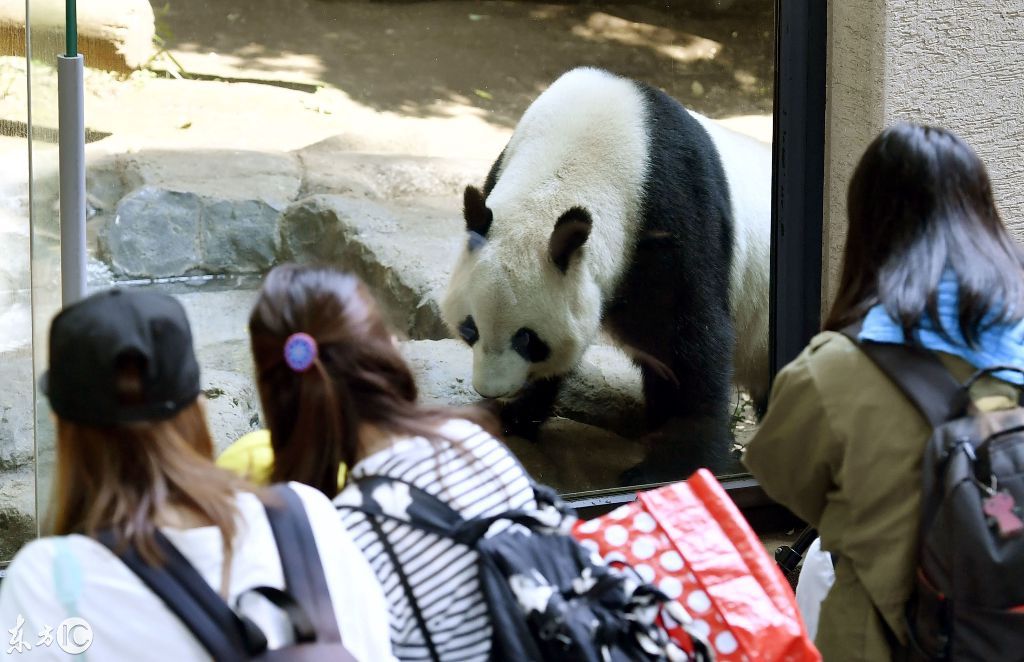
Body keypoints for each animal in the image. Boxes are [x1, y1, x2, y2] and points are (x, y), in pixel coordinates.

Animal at [440, 68, 770, 481]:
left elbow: (691, 341)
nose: (491, 390)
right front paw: (514, 416)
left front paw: (671, 468)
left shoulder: (674, 211)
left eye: (528, 339)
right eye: (470, 329)